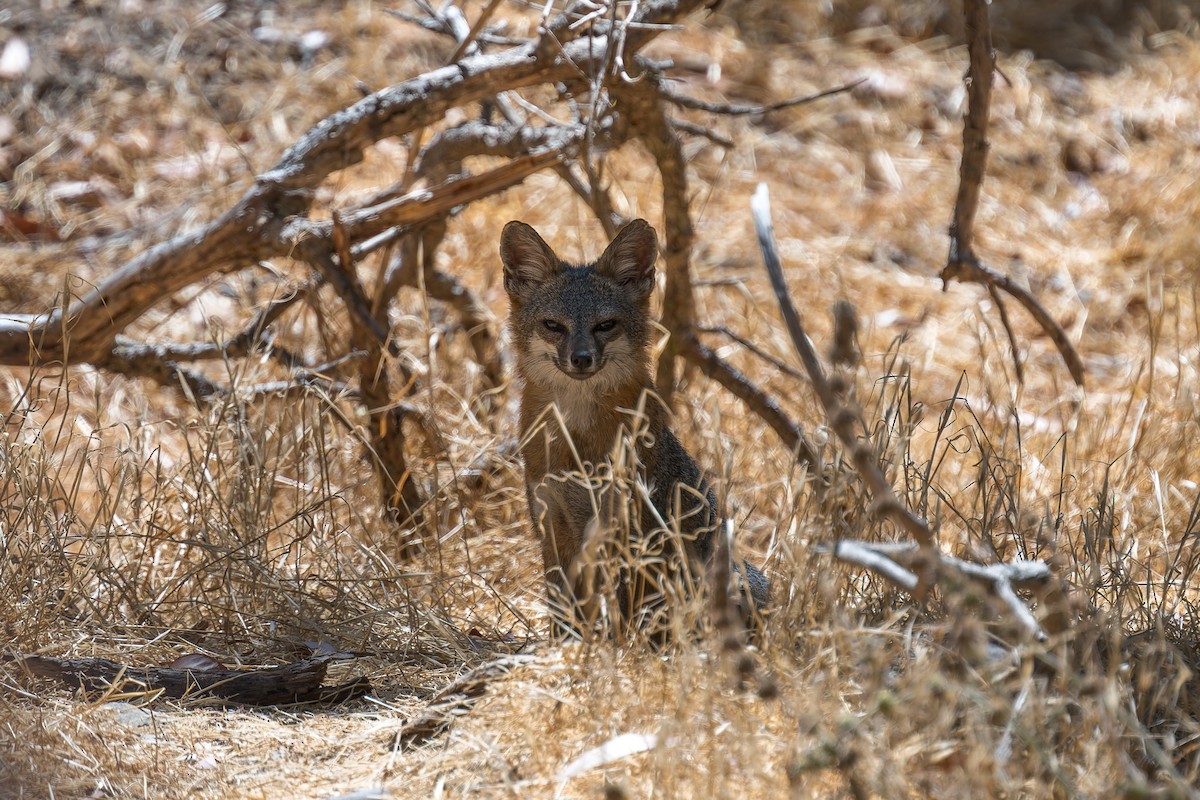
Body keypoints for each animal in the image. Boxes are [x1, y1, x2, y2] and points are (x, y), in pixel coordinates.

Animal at [500, 217, 769, 637]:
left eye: (605, 326)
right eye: (553, 326)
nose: (581, 359)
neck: (579, 440)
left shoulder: (626, 524)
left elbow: (621, 601)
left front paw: (617, 645)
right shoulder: (550, 518)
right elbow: (561, 603)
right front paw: (566, 645)